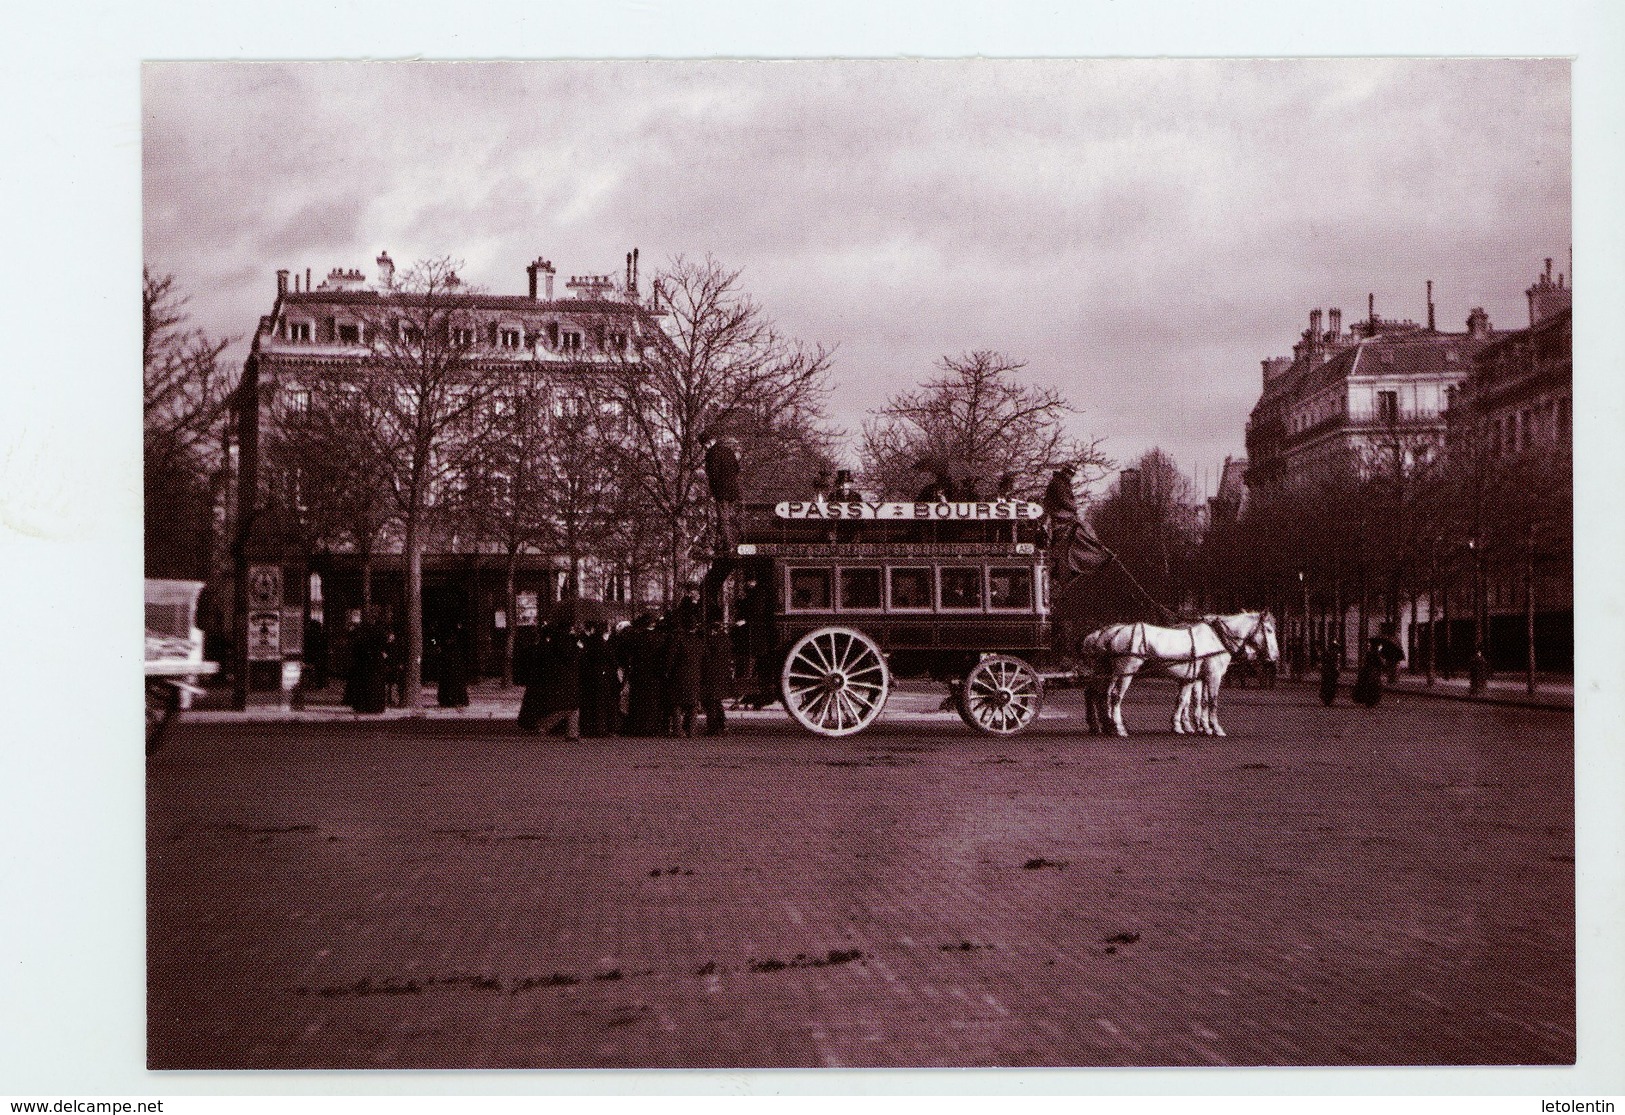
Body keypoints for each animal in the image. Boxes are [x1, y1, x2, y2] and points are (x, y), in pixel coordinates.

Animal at [1079, 614, 1280, 737]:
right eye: (1269, 630)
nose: (1276, 656)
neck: (1217, 638)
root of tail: (1109, 633)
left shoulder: (1191, 677)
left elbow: (1186, 701)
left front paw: (1183, 726)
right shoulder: (1213, 676)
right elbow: (1211, 701)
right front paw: (1214, 728)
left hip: (1106, 670)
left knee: (1096, 693)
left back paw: (1102, 725)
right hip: (1126, 669)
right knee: (1114, 695)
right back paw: (1118, 727)